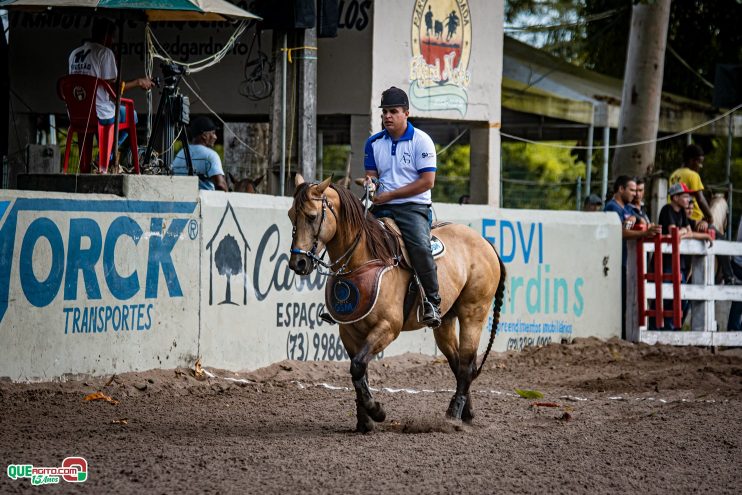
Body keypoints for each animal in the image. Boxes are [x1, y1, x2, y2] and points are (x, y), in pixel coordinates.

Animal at [288, 176, 508, 432]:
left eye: (312, 216)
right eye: (291, 215)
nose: (298, 263)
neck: (364, 258)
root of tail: (485, 242)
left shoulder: (388, 327)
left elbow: (358, 367)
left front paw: (377, 412)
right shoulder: (349, 331)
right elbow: (358, 373)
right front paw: (364, 421)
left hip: (474, 312)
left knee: (466, 365)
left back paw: (453, 416)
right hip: (445, 321)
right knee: (458, 364)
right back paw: (467, 414)